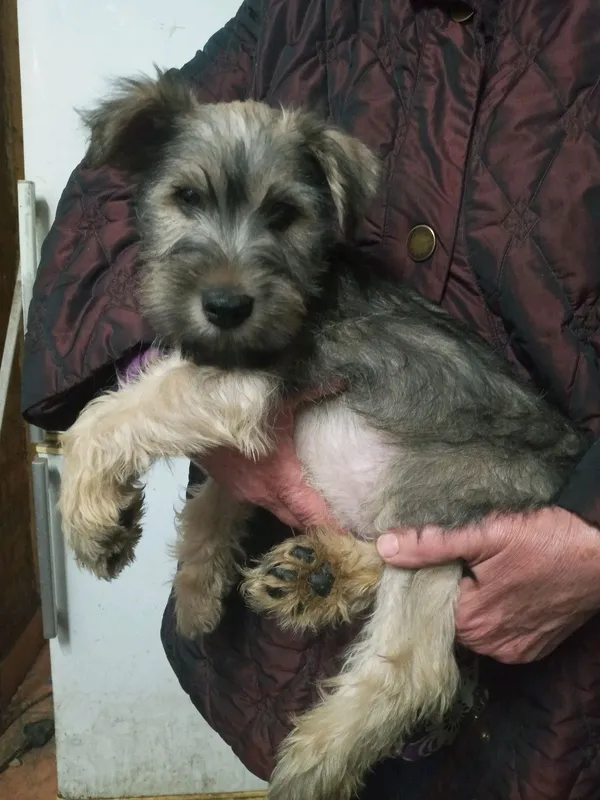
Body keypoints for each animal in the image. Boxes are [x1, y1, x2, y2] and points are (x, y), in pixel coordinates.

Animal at [59, 70, 584, 800]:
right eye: (185, 199)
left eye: (284, 214)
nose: (226, 307)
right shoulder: (251, 431)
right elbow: (212, 495)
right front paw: (195, 588)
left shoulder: (243, 383)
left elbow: (105, 417)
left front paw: (87, 519)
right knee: (382, 562)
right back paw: (316, 577)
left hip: (433, 495)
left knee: (419, 665)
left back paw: (315, 759)